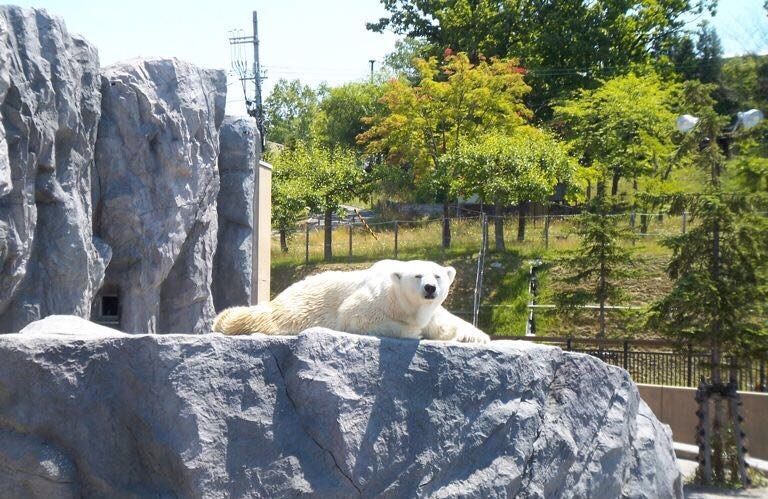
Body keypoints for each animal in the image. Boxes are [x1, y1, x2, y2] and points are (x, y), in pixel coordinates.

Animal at [214, 258, 492, 344]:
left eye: (437, 275)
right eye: (417, 275)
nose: (430, 288)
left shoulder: (431, 311)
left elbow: (447, 323)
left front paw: (477, 336)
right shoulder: (376, 300)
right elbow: (355, 316)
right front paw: (412, 331)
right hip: (298, 308)